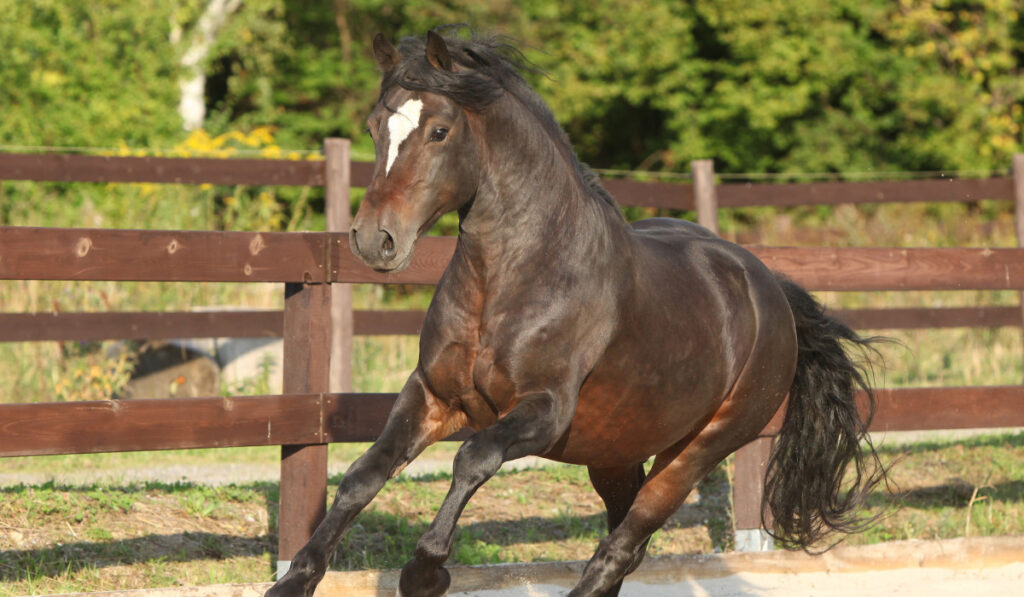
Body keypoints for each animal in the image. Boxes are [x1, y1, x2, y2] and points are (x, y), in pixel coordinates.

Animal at [268, 28, 884, 597]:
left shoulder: (544, 411)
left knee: (620, 547)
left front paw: (425, 572)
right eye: (376, 127)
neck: (514, 280)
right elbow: (363, 474)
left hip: (702, 448)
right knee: (625, 544)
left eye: (439, 130)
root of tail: (769, 288)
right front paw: (293, 580)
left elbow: (473, 458)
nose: (375, 240)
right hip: (613, 454)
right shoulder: (432, 394)